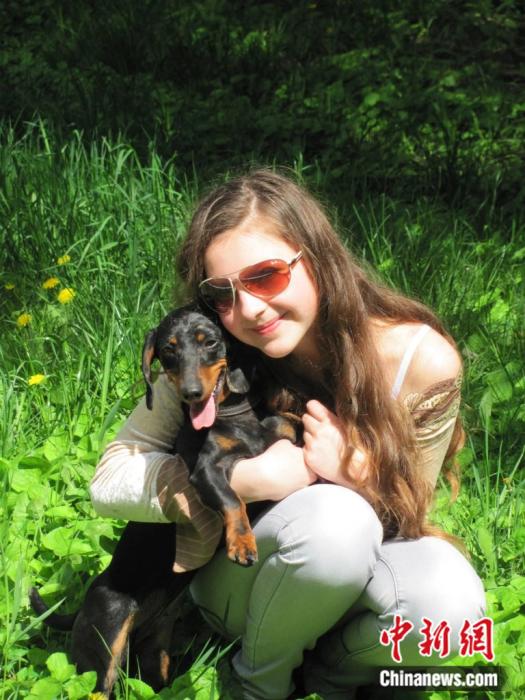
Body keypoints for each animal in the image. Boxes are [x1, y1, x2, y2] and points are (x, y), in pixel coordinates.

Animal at [30, 304, 297, 697]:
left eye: (210, 342)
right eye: (168, 351)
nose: (190, 393)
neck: (238, 419)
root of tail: (82, 605)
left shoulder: (284, 436)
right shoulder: (205, 472)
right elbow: (232, 500)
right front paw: (242, 543)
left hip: (155, 660)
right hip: (102, 651)